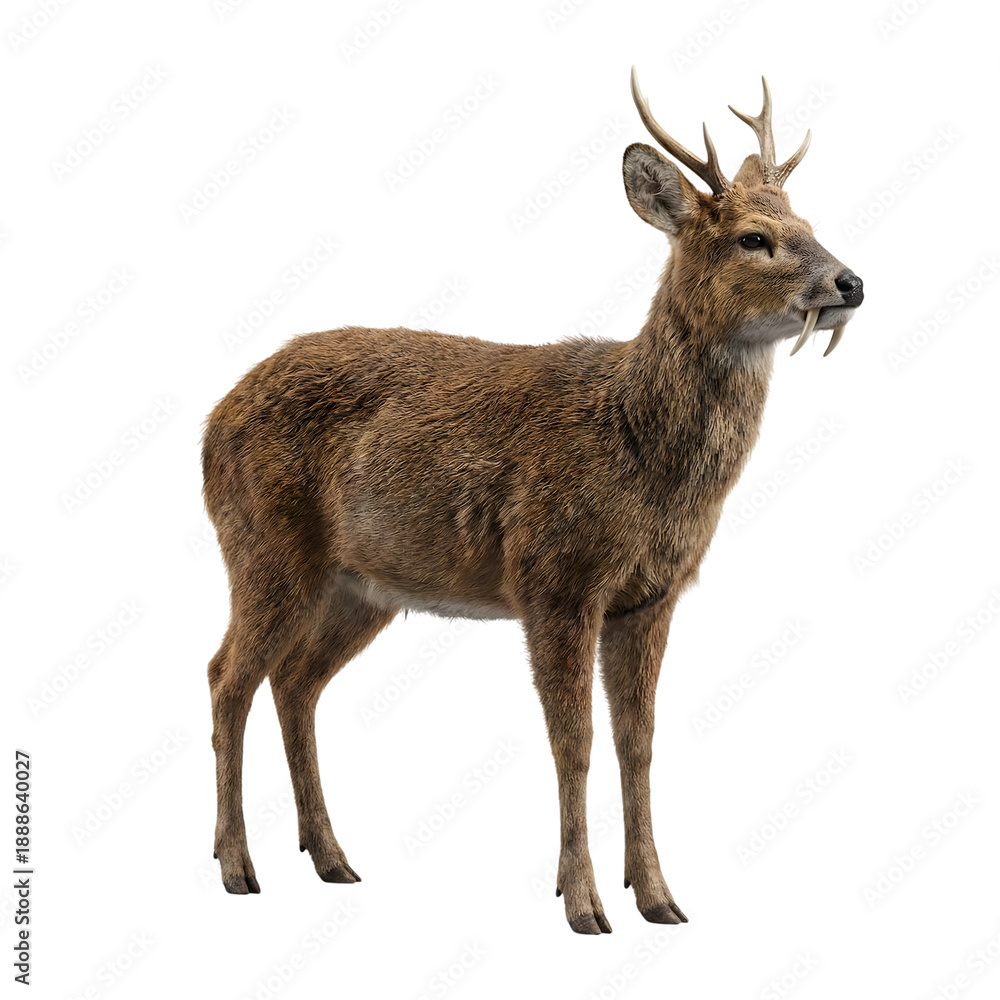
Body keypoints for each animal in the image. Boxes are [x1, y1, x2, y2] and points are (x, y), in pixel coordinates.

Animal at [203, 68, 863, 935]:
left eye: (809, 223)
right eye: (755, 238)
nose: (852, 281)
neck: (637, 447)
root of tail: (209, 425)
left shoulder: (650, 595)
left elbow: (637, 743)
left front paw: (658, 897)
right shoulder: (554, 576)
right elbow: (572, 742)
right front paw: (583, 904)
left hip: (361, 586)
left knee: (295, 683)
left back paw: (332, 858)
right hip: (264, 544)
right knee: (226, 677)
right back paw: (237, 867)